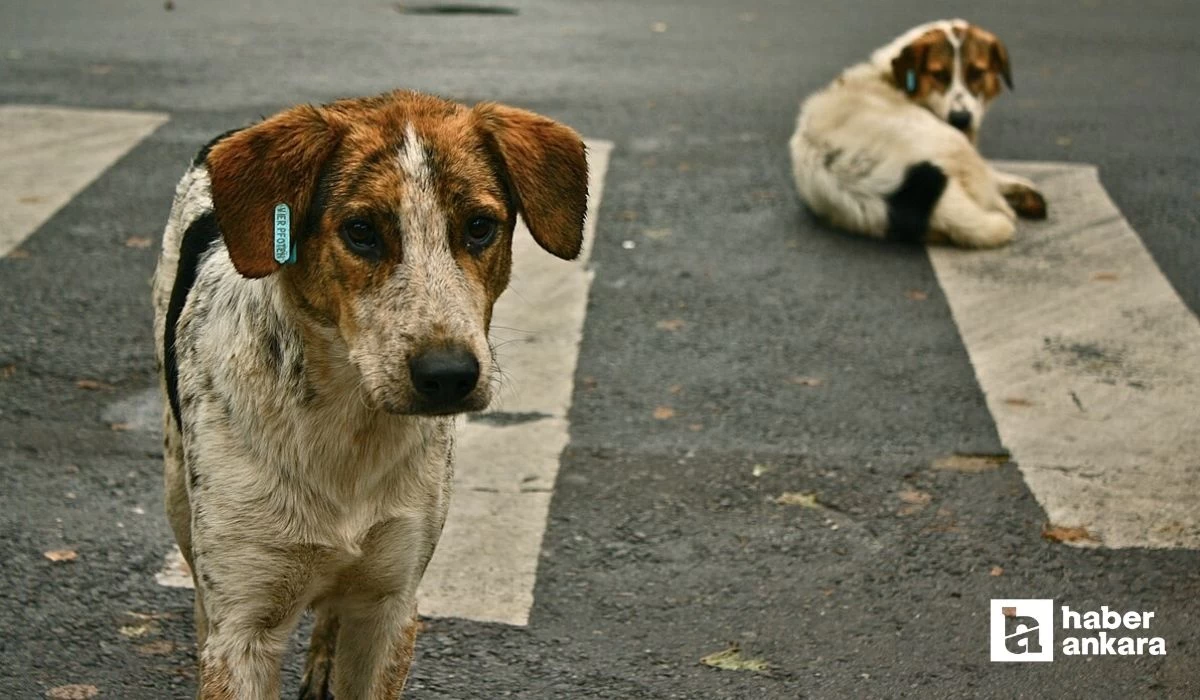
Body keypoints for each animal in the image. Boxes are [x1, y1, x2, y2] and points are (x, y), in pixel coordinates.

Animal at [152, 90, 588, 696]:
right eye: (360, 231)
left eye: (480, 226)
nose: (449, 375)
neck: (349, 425)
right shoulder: (242, 627)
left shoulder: (390, 607)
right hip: (177, 488)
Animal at [787, 18, 1041, 249]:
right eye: (938, 74)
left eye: (977, 73)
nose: (961, 119)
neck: (891, 78)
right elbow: (993, 175)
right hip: (952, 143)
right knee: (991, 196)